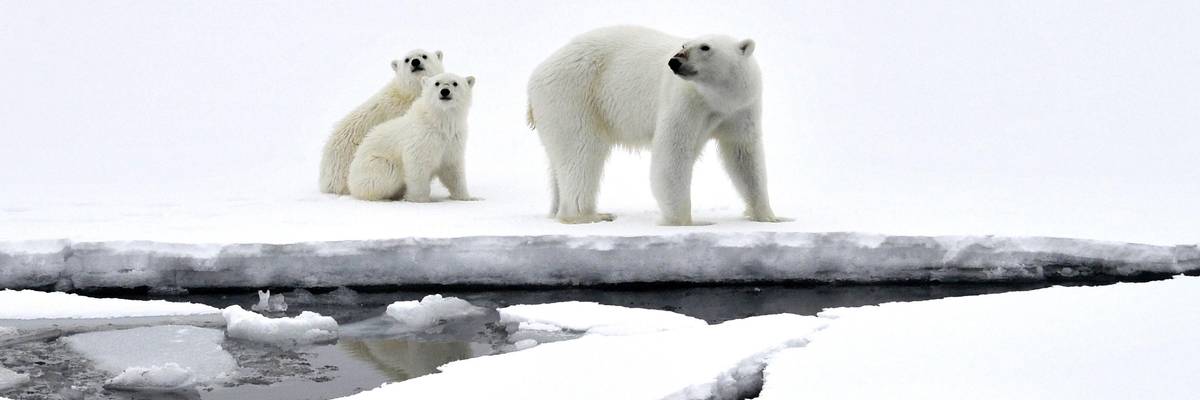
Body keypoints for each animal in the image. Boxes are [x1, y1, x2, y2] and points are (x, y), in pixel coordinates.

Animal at [347, 72, 477, 203]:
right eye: (437, 83)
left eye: (455, 83)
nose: (445, 91)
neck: (439, 121)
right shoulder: (422, 138)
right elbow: (418, 166)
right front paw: (420, 199)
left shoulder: (453, 139)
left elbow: (453, 169)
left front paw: (467, 197)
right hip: (374, 165)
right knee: (386, 173)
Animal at [527, 25, 788, 225]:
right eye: (684, 44)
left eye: (705, 47)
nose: (674, 62)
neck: (717, 99)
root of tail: (536, 76)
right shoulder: (685, 103)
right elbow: (672, 155)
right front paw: (686, 221)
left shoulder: (741, 109)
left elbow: (743, 157)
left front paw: (769, 216)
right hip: (575, 96)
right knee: (582, 152)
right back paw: (588, 215)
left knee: (560, 160)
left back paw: (557, 208)